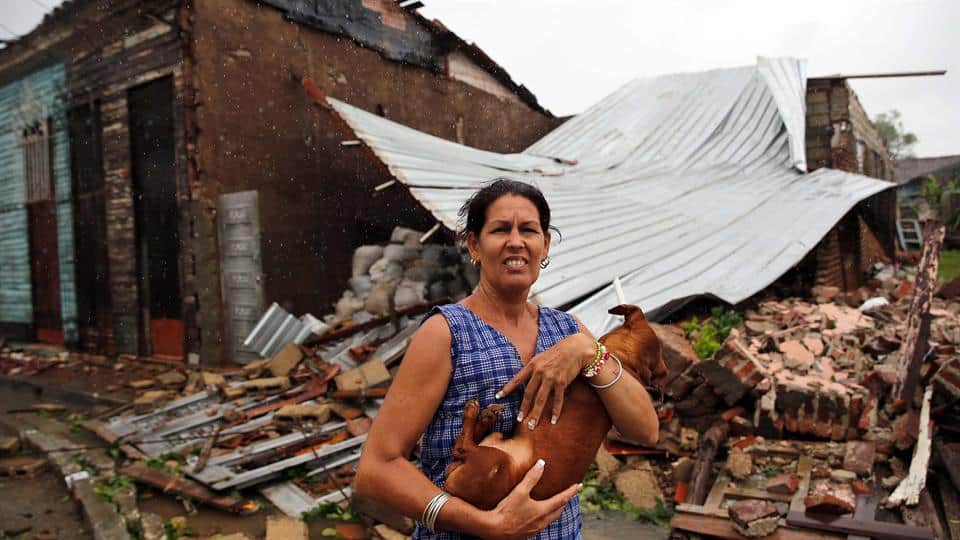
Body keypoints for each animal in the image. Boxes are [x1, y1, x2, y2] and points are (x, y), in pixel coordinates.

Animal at [442, 306, 668, 508]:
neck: (625, 359)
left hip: (494, 461)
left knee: (462, 447)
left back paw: (475, 413)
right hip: (494, 441)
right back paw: (489, 416)